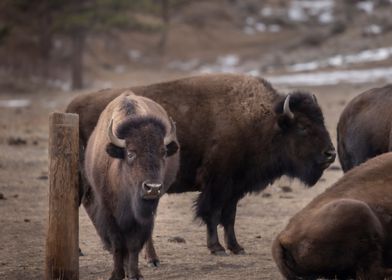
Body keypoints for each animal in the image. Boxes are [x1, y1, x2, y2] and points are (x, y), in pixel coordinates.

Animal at [66, 74, 336, 256]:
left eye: (321, 121)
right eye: (302, 127)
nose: (330, 153)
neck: (261, 120)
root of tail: (73, 107)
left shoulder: (235, 186)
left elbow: (229, 216)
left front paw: (236, 247)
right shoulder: (217, 183)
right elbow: (212, 213)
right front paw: (216, 247)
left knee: (90, 203)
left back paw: (108, 246)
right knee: (81, 202)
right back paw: (83, 250)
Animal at [84, 91, 181, 278]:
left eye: (163, 152)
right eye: (130, 153)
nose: (153, 188)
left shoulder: (142, 217)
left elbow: (135, 244)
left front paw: (135, 274)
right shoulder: (108, 211)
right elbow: (117, 244)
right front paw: (117, 274)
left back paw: (152, 259)